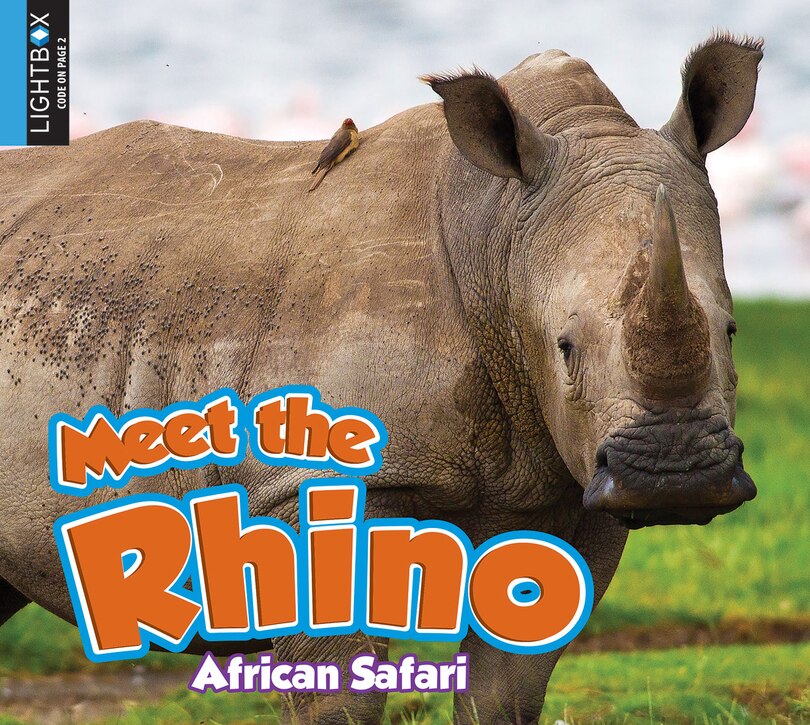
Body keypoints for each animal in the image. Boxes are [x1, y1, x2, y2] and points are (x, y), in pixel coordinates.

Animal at [0, 32, 761, 723]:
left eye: (729, 330)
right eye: (565, 346)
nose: (676, 475)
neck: (500, 234)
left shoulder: (569, 486)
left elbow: (508, 690)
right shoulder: (314, 477)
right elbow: (342, 696)